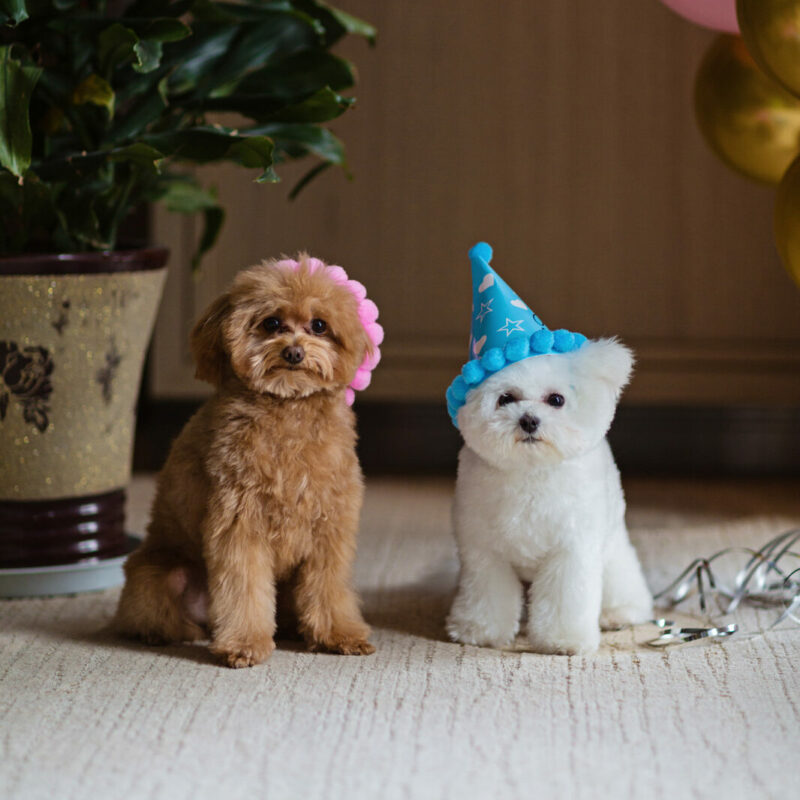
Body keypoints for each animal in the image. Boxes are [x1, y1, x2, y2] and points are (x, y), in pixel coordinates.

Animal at [446, 338, 652, 656]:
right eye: (505, 399)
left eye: (556, 399)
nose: (529, 420)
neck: (531, 470)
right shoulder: (484, 552)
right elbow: (487, 593)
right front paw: (480, 631)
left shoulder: (570, 552)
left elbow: (566, 599)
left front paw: (563, 640)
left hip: (612, 555)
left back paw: (619, 613)